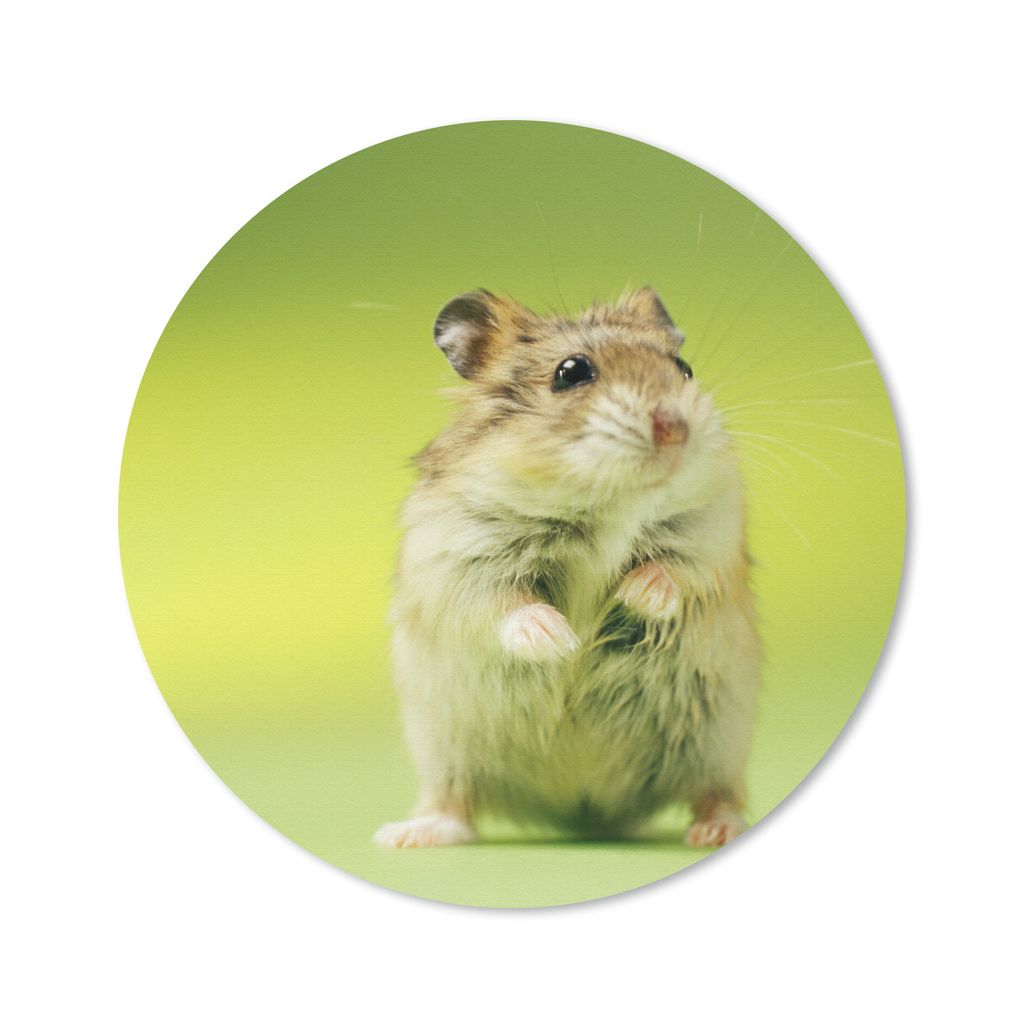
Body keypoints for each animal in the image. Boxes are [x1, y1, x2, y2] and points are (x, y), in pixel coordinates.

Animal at [374, 288, 761, 849]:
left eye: (684, 369)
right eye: (572, 372)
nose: (676, 429)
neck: (607, 502)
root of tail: (586, 809)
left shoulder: (711, 531)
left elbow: (675, 570)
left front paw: (632, 595)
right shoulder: (458, 557)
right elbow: (503, 603)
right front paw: (561, 641)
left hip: (719, 739)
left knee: (716, 792)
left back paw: (717, 832)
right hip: (443, 745)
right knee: (453, 803)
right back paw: (407, 836)